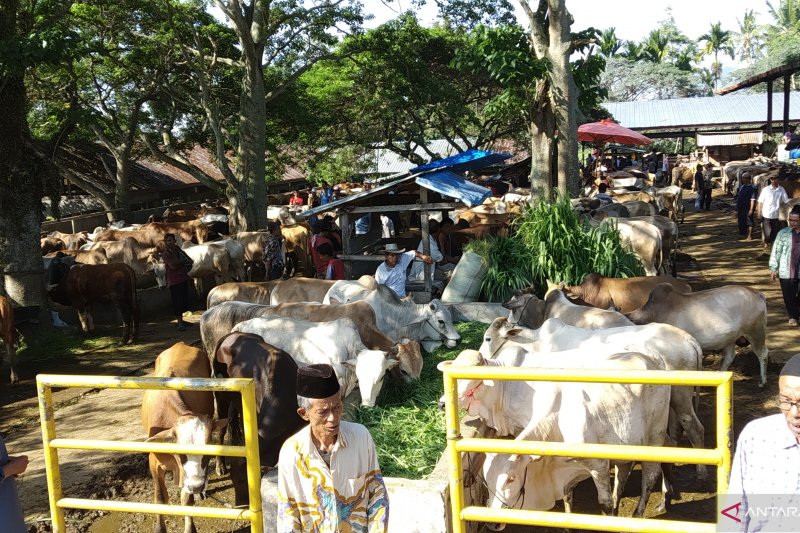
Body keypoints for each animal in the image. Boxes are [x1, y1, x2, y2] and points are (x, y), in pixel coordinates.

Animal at [141, 342, 225, 532]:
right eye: (180, 454)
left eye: (207, 454)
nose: (196, 485)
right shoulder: (154, 463)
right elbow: (160, 499)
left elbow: (187, 500)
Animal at [440, 350, 672, 524]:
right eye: (486, 479)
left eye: (473, 383)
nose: (442, 403)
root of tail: (654, 358)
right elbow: (568, 492)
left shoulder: (597, 464)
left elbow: (604, 503)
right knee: (624, 470)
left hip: (656, 434)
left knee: (651, 473)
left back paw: (641, 512)